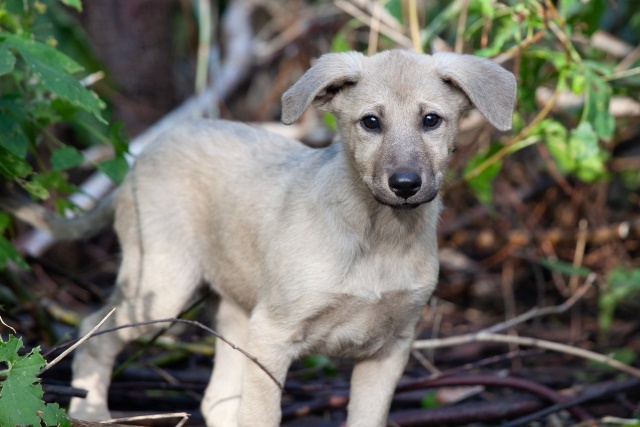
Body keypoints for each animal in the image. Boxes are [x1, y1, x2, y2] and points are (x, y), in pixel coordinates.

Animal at [5, 49, 516, 424]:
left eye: (432, 120)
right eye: (371, 122)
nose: (406, 184)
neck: (379, 236)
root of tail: (140, 156)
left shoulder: (391, 348)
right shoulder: (273, 335)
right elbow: (262, 416)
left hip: (234, 311)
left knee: (214, 400)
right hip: (161, 286)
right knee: (93, 332)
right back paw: (92, 411)